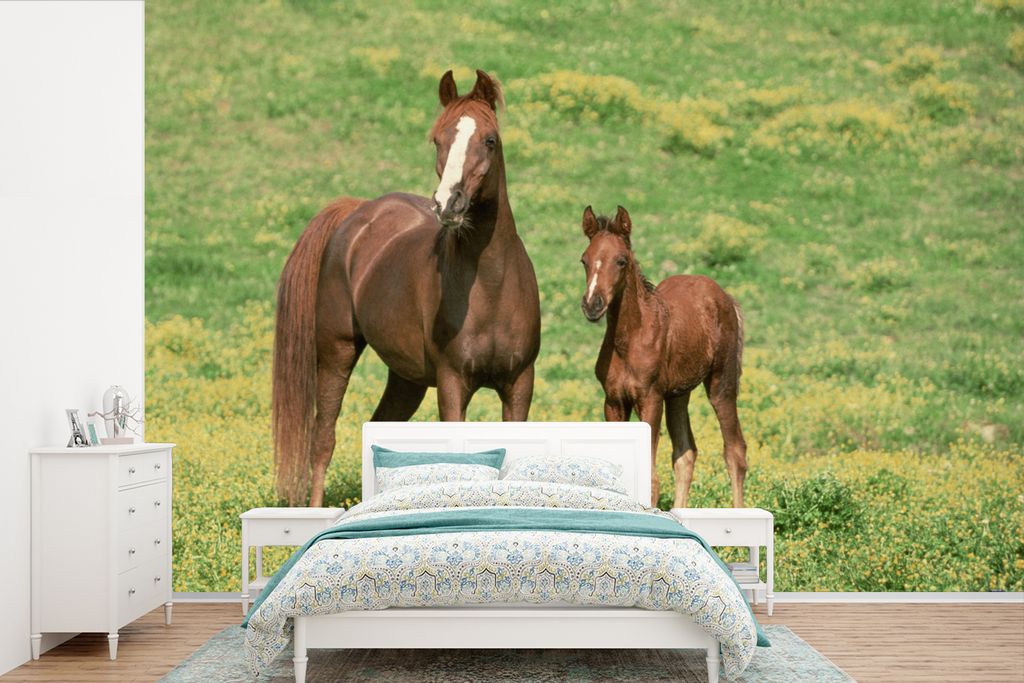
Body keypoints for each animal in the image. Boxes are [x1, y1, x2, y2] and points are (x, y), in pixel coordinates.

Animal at [272, 70, 541, 506]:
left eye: (490, 139)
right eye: (438, 139)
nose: (449, 204)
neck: (491, 289)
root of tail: (359, 211)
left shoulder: (519, 383)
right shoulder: (452, 384)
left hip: (406, 378)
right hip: (336, 352)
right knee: (323, 440)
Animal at [579, 205, 747, 508]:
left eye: (621, 261)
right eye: (584, 260)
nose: (592, 305)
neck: (629, 341)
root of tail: (725, 297)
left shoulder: (650, 399)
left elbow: (651, 480)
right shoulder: (613, 401)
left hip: (721, 383)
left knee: (735, 451)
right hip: (678, 394)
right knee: (686, 452)